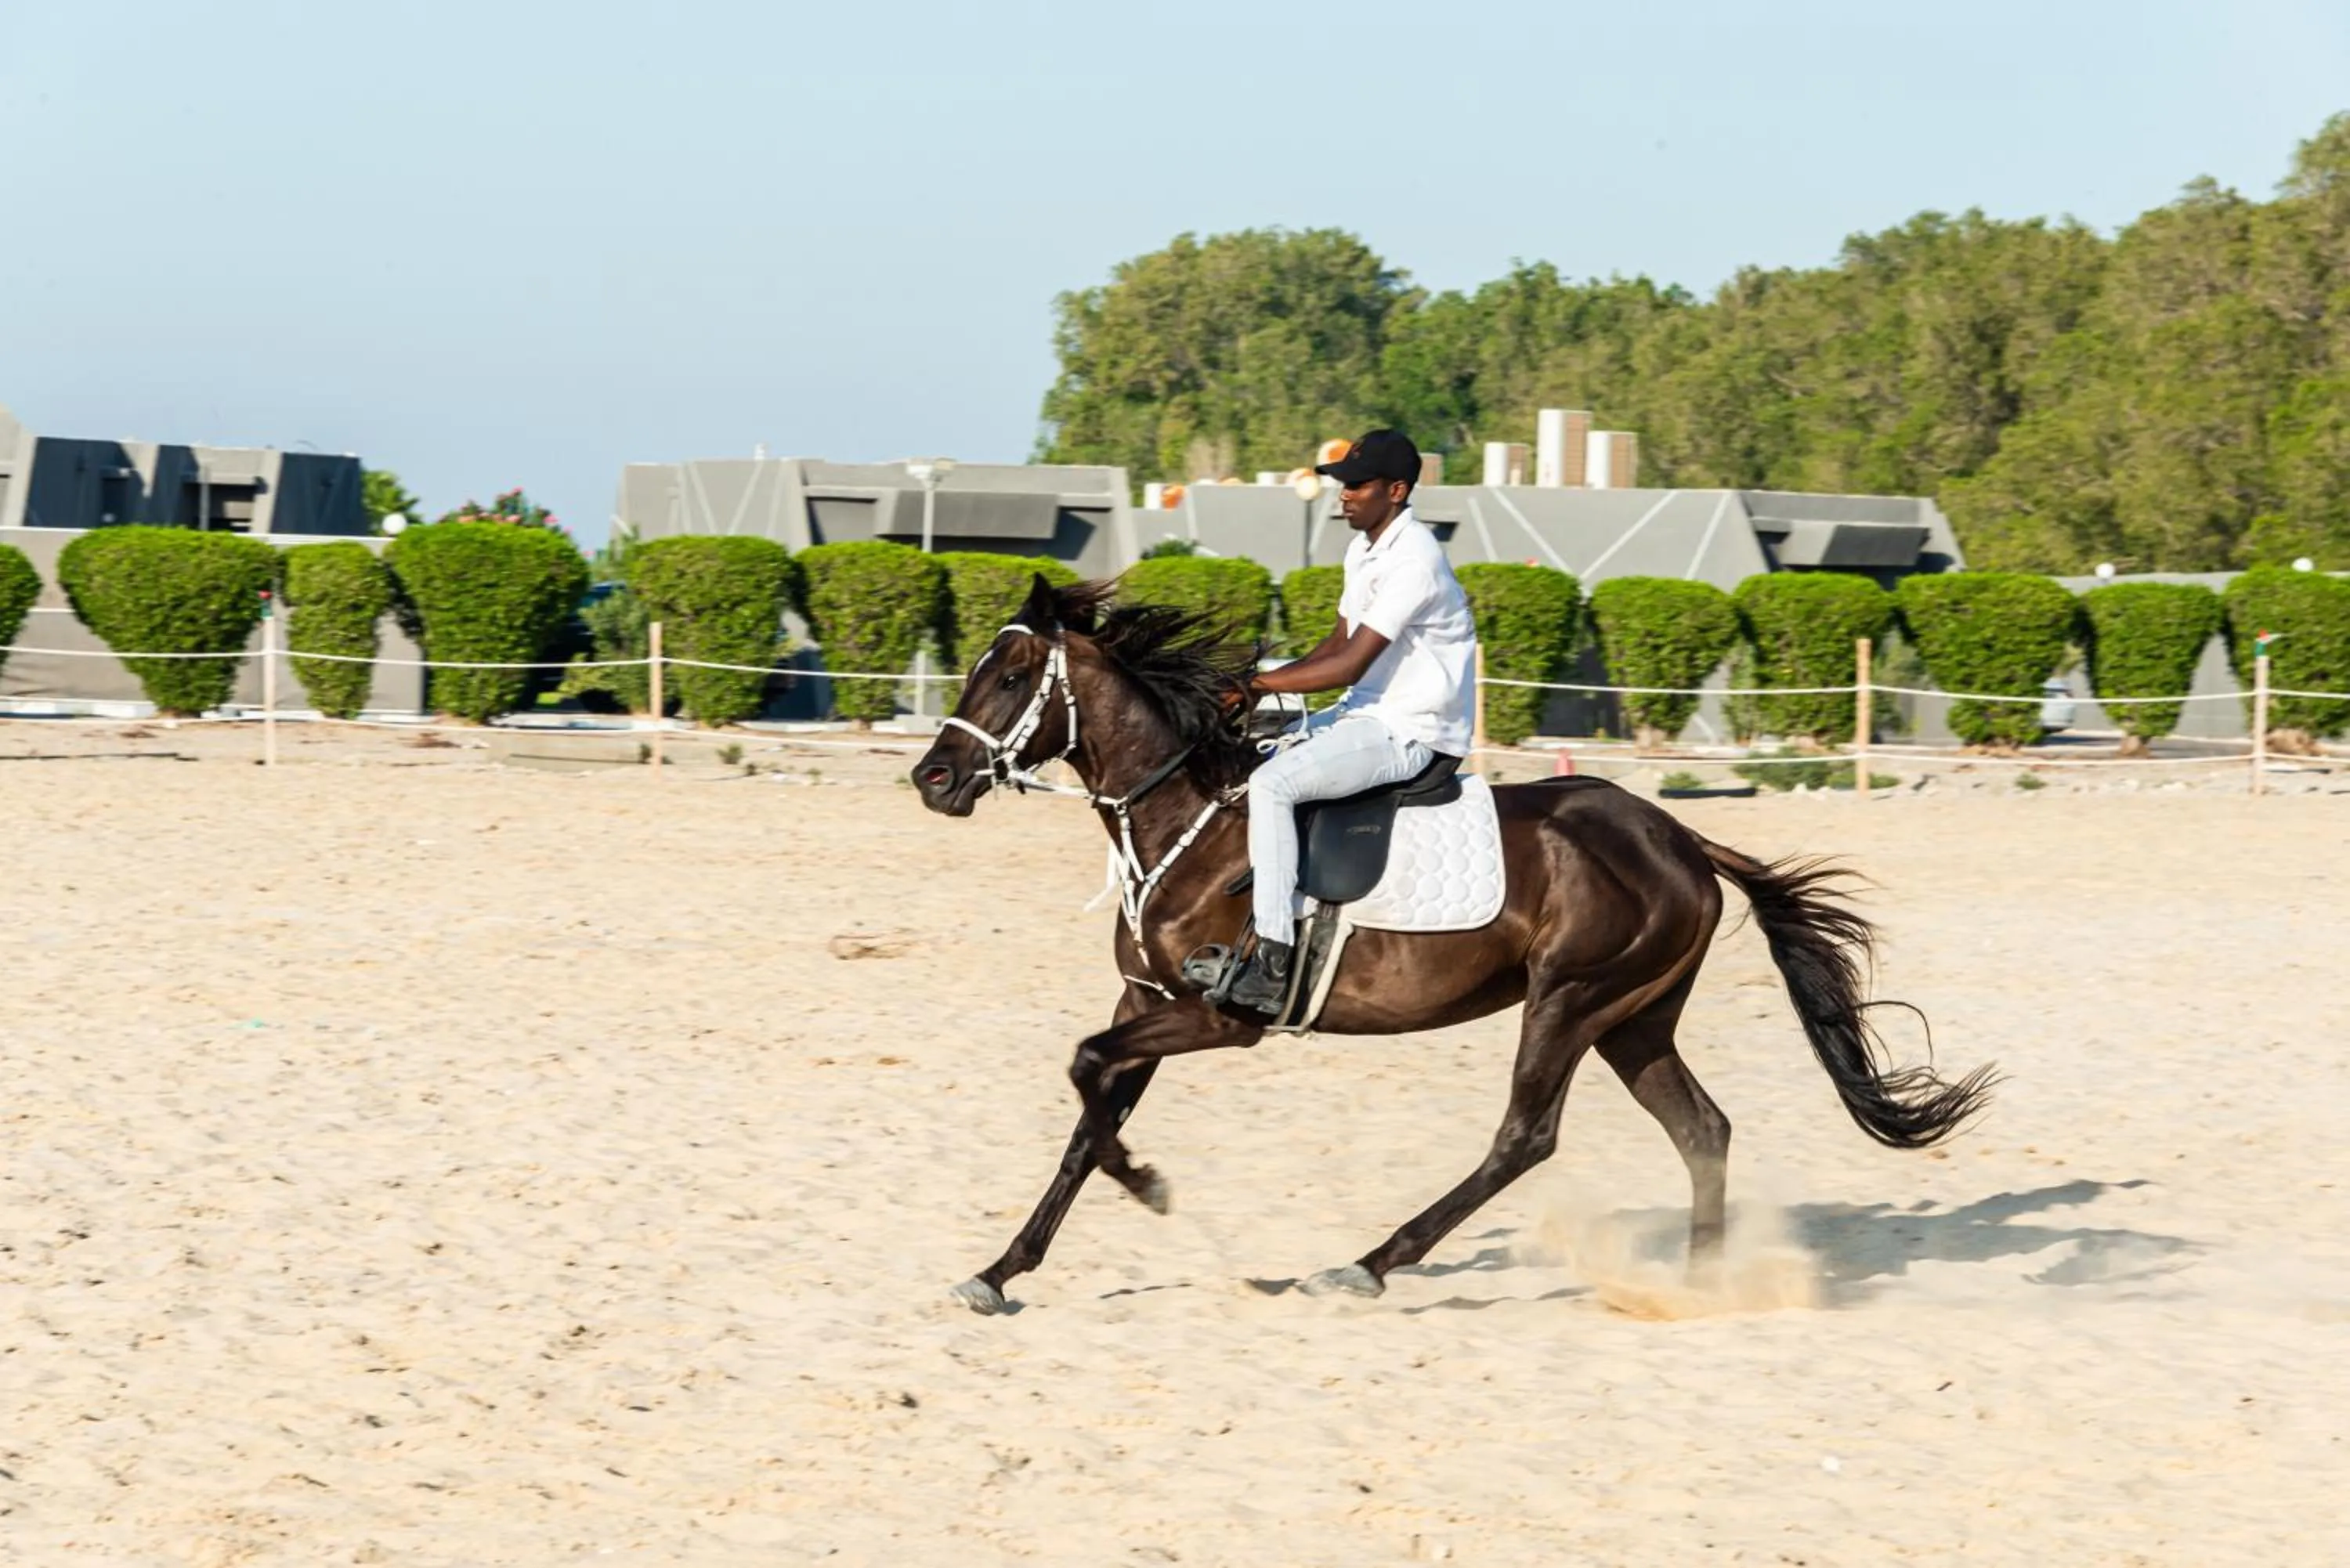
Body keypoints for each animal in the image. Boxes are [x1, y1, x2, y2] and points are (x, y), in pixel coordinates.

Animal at [910, 574, 1993, 1314]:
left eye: (1012, 674)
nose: (934, 778)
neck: (1189, 817)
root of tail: (1680, 839)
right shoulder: (1146, 1003)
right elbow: (1089, 1111)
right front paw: (1004, 1268)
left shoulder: (1216, 1018)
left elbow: (1087, 1071)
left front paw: (1149, 1183)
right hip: (1632, 1019)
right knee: (1702, 1131)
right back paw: (1702, 1282)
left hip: (1570, 1000)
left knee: (1527, 1135)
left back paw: (1370, 1261)